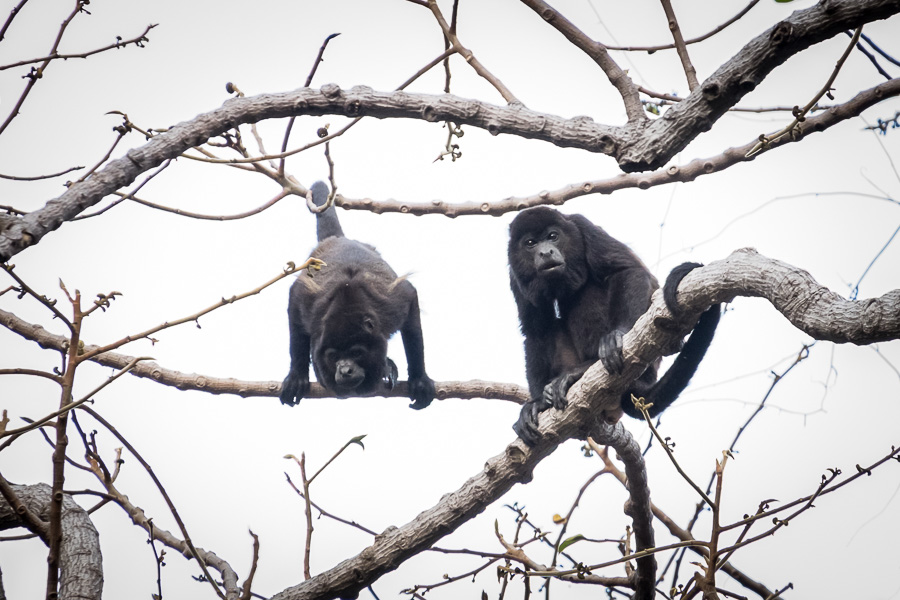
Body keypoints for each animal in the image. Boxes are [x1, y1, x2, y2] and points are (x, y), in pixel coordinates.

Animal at [282, 180, 436, 410]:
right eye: (334, 356)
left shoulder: (393, 304)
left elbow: (411, 306)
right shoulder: (308, 305)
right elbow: (295, 307)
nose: (345, 370)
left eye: (356, 352)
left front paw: (419, 379)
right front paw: (296, 377)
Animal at [510, 206, 720, 446]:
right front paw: (537, 404)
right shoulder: (514, 272)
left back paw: (581, 370)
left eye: (553, 236)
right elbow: (536, 329)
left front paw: (617, 335)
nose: (545, 252)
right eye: (530, 243)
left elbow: (627, 271)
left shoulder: (584, 227)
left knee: (587, 290)